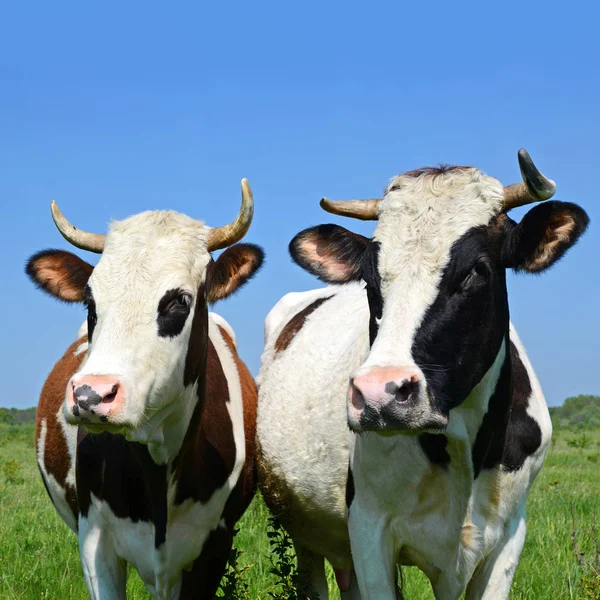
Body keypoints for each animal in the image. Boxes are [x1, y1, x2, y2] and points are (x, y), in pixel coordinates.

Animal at [255, 151, 588, 600]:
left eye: (477, 270)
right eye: (370, 279)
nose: (380, 394)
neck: (463, 447)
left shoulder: (510, 534)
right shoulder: (368, 526)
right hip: (303, 527)